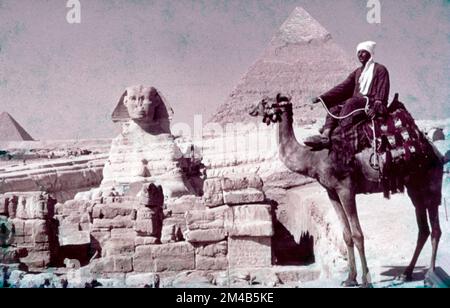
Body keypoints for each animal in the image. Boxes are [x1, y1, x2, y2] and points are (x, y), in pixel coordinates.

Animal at [250, 95, 446, 288]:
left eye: (265, 101)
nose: (251, 110)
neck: (312, 158)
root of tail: (436, 153)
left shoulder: (346, 189)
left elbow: (358, 234)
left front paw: (366, 281)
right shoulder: (332, 191)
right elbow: (346, 235)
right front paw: (350, 278)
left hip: (432, 184)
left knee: (435, 229)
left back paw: (430, 275)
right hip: (415, 187)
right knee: (423, 229)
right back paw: (405, 274)